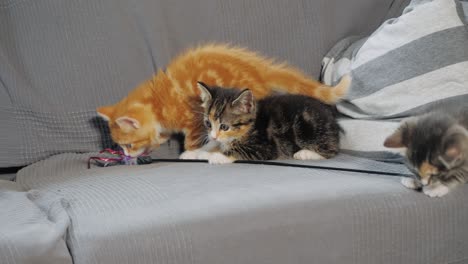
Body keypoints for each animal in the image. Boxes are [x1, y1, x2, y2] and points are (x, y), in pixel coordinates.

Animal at [196, 81, 342, 164]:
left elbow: (236, 150)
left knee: (332, 151)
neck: (250, 126)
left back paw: (305, 153)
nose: (213, 136)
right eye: (208, 124)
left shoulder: (265, 148)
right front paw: (195, 152)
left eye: (224, 127)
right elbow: (215, 144)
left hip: (308, 127)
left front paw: (215, 156)